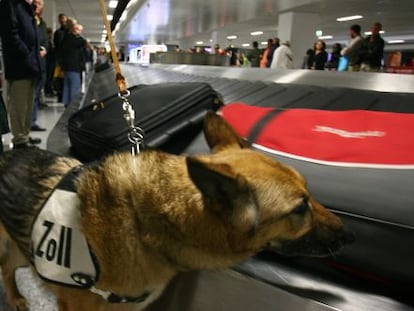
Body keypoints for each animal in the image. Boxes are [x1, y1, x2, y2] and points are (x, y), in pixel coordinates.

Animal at [0, 112, 352, 311]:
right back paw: (14, 298)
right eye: (300, 208)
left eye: (309, 193)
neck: (141, 223)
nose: (347, 233)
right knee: (5, 270)